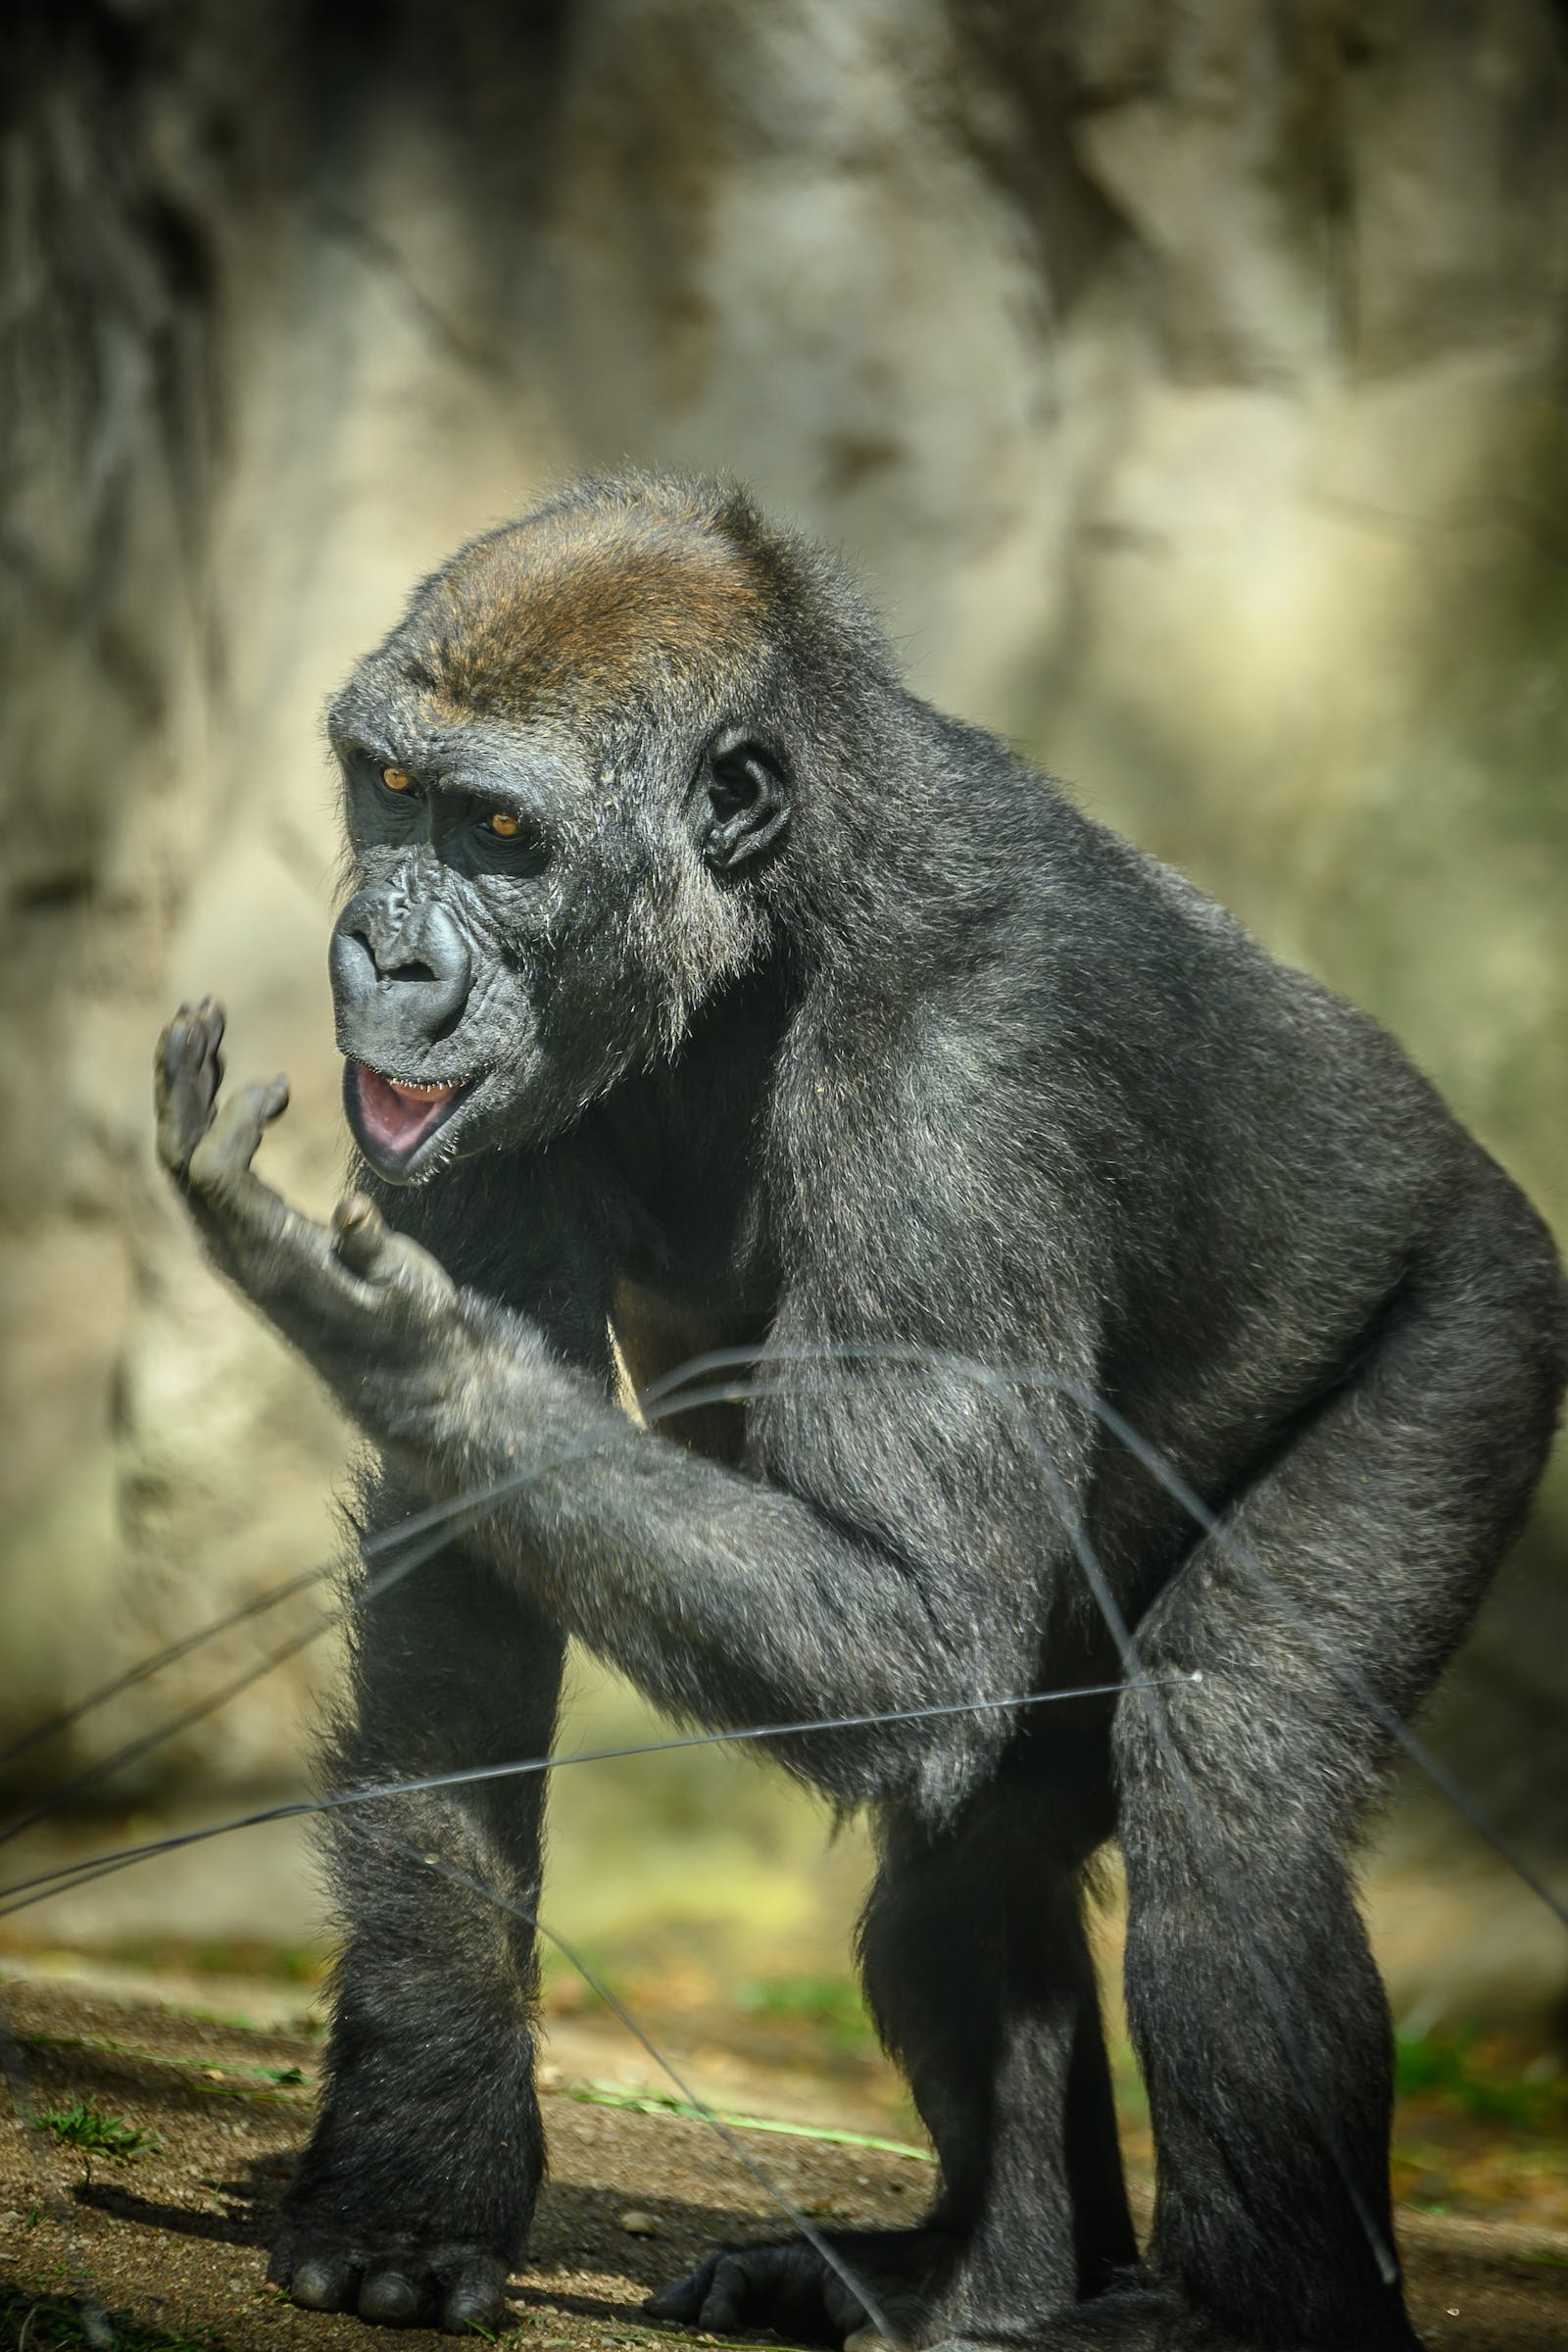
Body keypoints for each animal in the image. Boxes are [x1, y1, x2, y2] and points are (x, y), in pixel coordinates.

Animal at [152, 467, 1560, 2342]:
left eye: (500, 833)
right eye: (387, 791)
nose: (382, 951)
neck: (771, 915)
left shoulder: (966, 1076)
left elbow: (909, 1628)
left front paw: (394, 1343)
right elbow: (471, 1615)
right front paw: (417, 2152)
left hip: (1476, 1324)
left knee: (1232, 1771)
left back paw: (1245, 2312)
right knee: (974, 1850)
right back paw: (984, 2275)